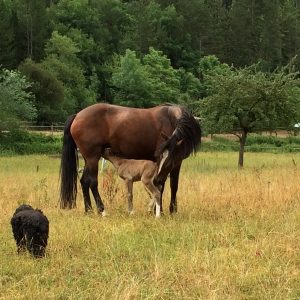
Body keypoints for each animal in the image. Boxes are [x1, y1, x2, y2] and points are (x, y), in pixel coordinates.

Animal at [59, 103, 202, 216]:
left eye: (170, 160)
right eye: (161, 156)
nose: (157, 179)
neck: (170, 119)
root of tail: (77, 115)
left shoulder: (177, 163)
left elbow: (174, 185)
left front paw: (172, 210)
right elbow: (161, 187)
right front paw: (159, 211)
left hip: (88, 159)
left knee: (84, 181)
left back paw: (88, 210)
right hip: (93, 158)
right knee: (92, 182)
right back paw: (102, 210)